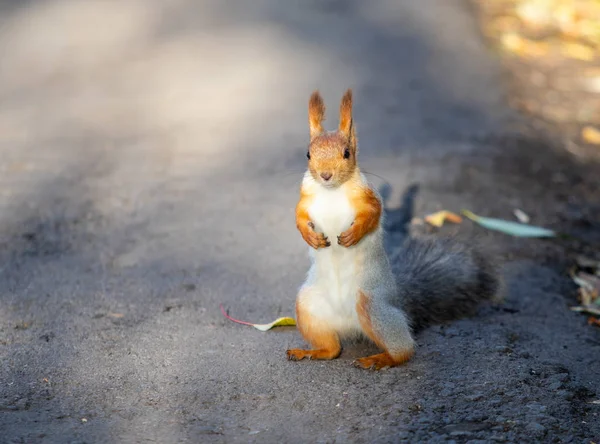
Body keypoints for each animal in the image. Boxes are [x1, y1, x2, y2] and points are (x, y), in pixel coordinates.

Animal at [286, 88, 502, 370]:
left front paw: (353, 234)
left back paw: (380, 358)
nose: (325, 175)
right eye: (308, 154)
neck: (330, 191)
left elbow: (373, 213)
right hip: (309, 307)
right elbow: (299, 217)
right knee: (332, 349)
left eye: (346, 153)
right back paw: (311, 351)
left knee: (404, 349)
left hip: (373, 306)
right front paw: (309, 236)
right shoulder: (305, 199)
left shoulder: (368, 197)